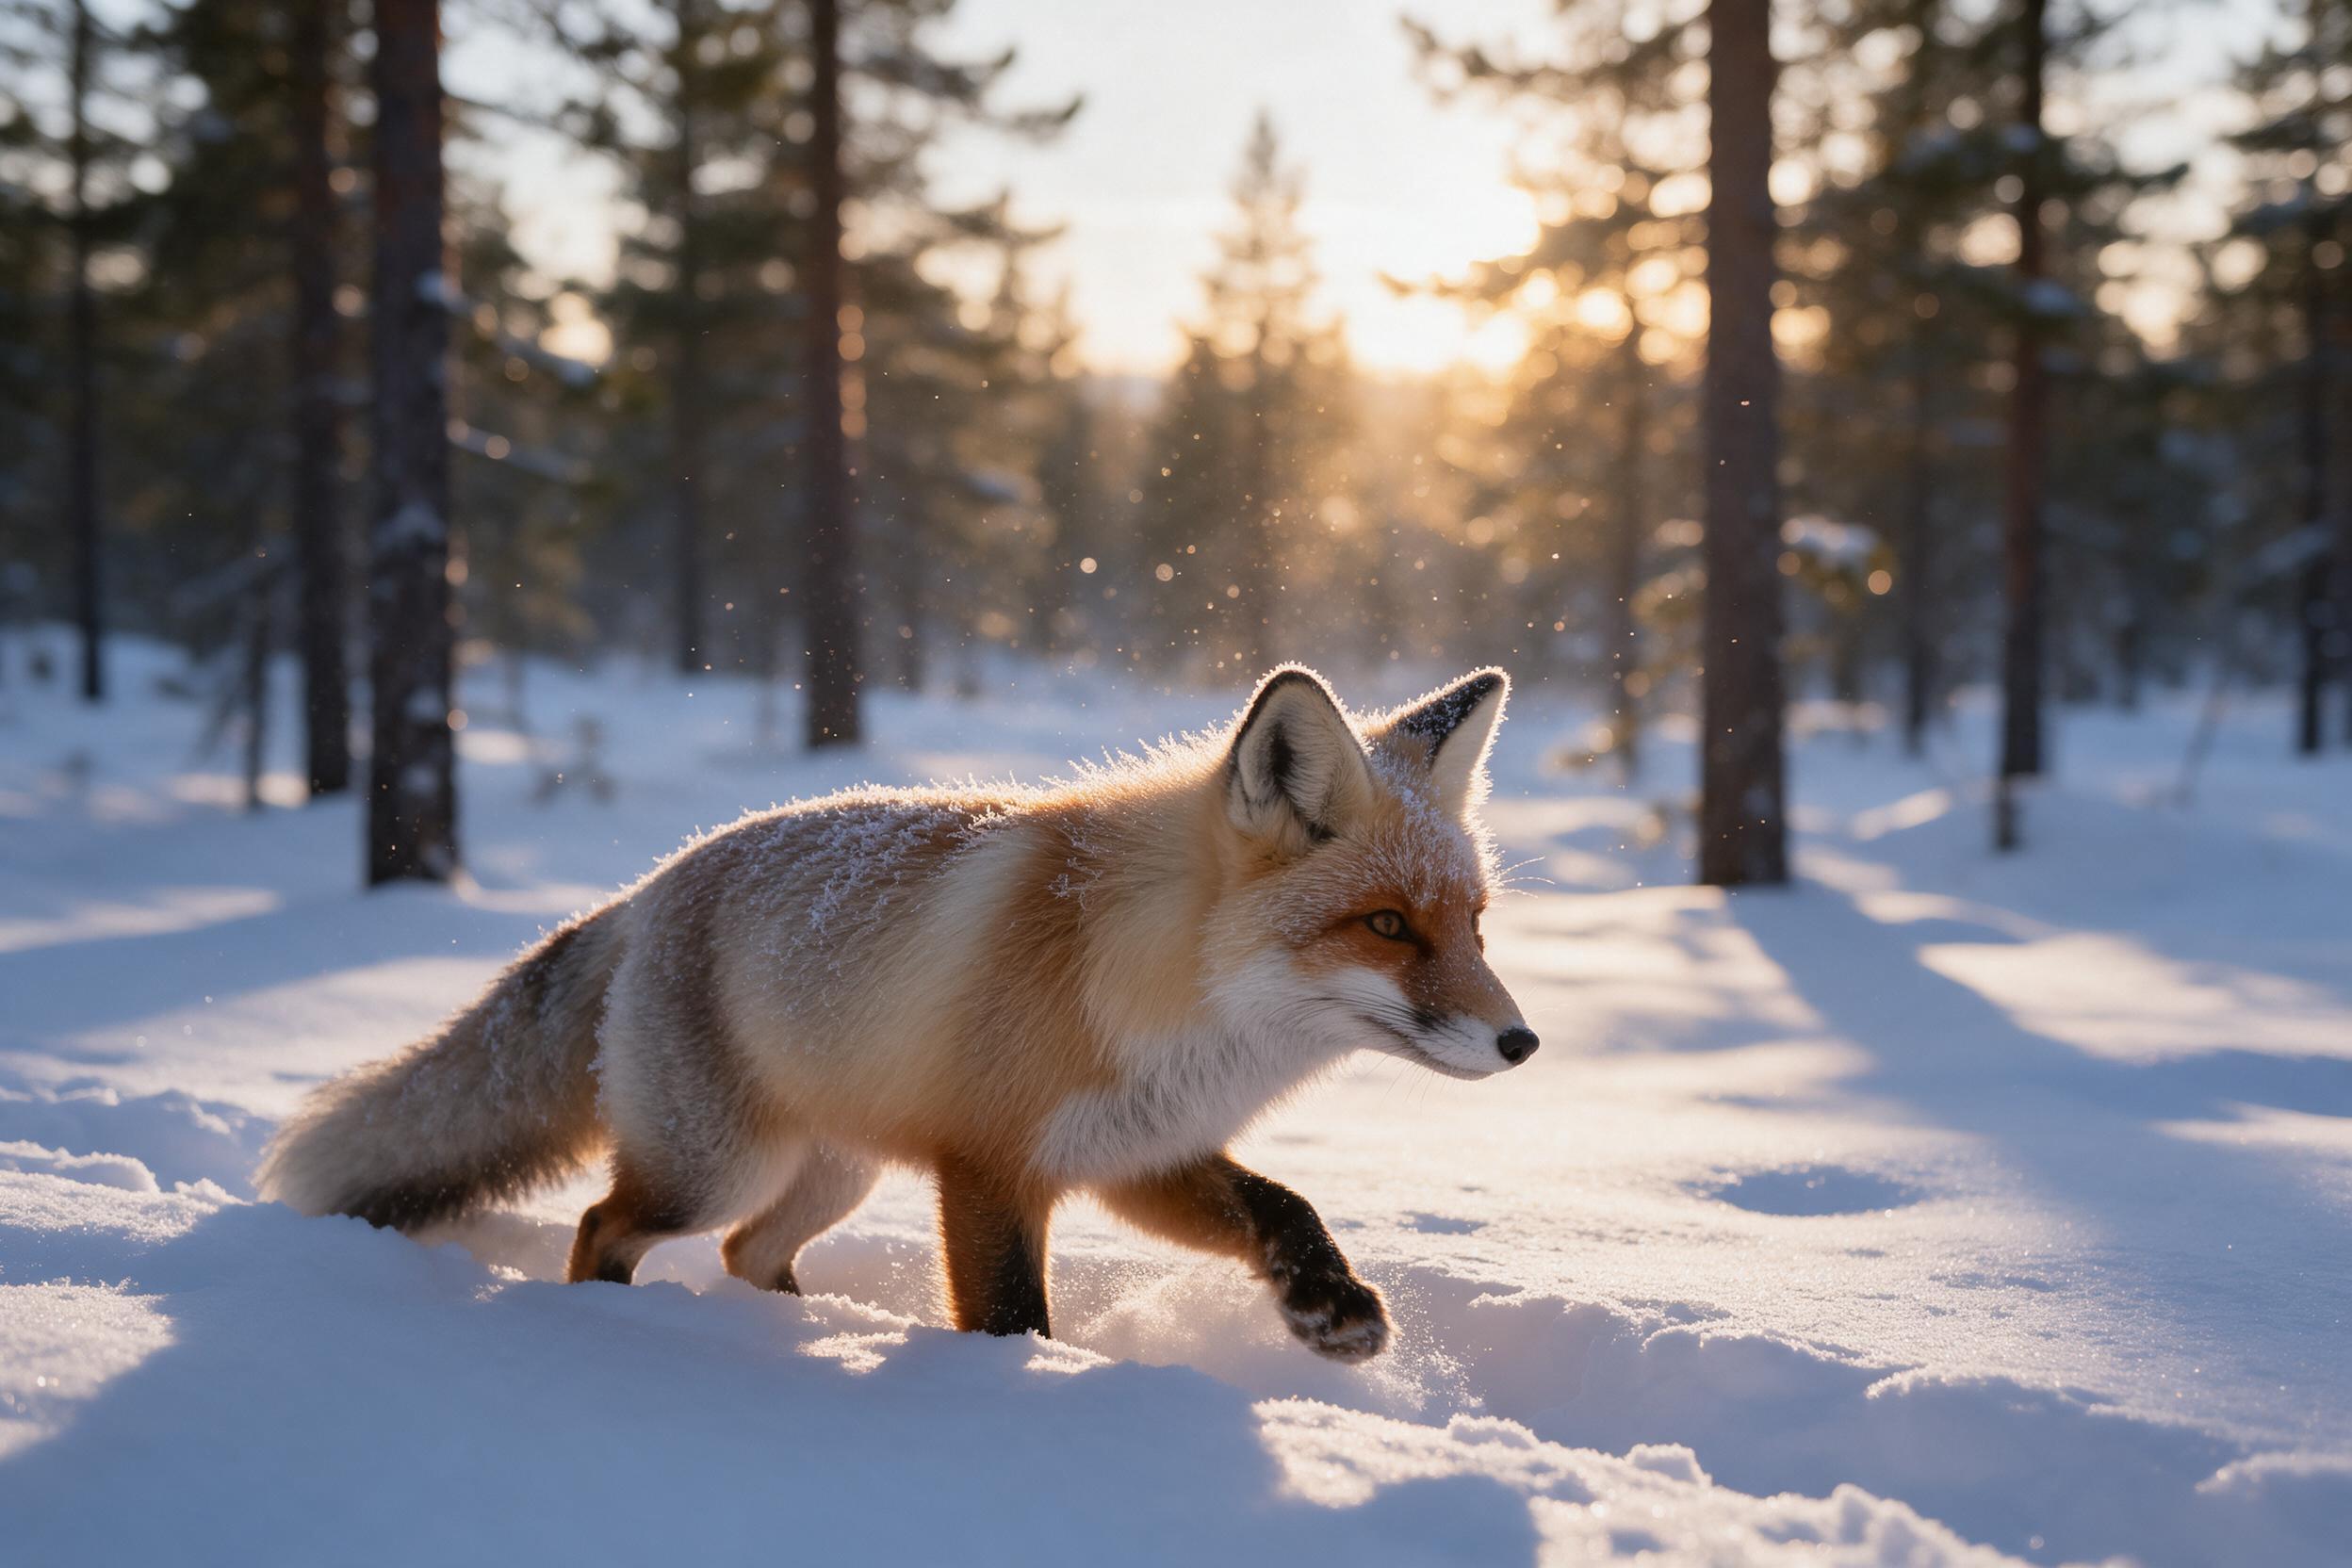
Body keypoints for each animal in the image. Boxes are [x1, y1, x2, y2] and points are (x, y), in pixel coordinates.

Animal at [257, 665, 1537, 1361]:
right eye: (1388, 925)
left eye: (1476, 924)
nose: (1523, 1041)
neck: (1157, 985)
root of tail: (651, 883)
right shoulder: (988, 1165)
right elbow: (1014, 1317)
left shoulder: (1137, 1148)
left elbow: (1285, 1204)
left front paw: (1330, 1310)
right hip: (713, 1164)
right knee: (602, 1226)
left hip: (836, 1169)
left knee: (746, 1250)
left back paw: (815, 1330)